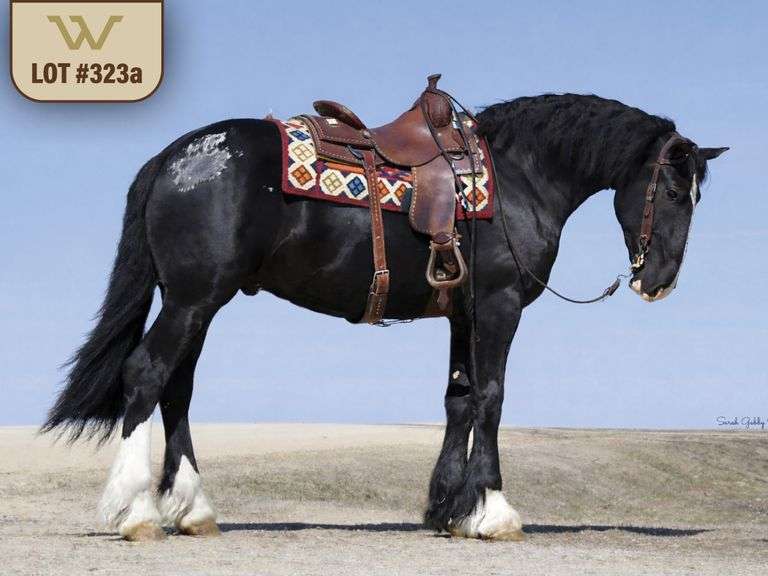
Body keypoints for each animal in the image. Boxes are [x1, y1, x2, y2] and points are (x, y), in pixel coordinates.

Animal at [42, 91, 727, 542]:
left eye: (698, 197)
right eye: (672, 191)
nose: (659, 282)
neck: (520, 177)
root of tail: (173, 157)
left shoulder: (462, 313)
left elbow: (459, 399)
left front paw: (448, 512)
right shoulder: (499, 304)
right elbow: (493, 396)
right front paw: (494, 511)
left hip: (200, 301)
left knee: (177, 387)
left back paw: (192, 509)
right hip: (193, 298)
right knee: (147, 374)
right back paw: (137, 514)